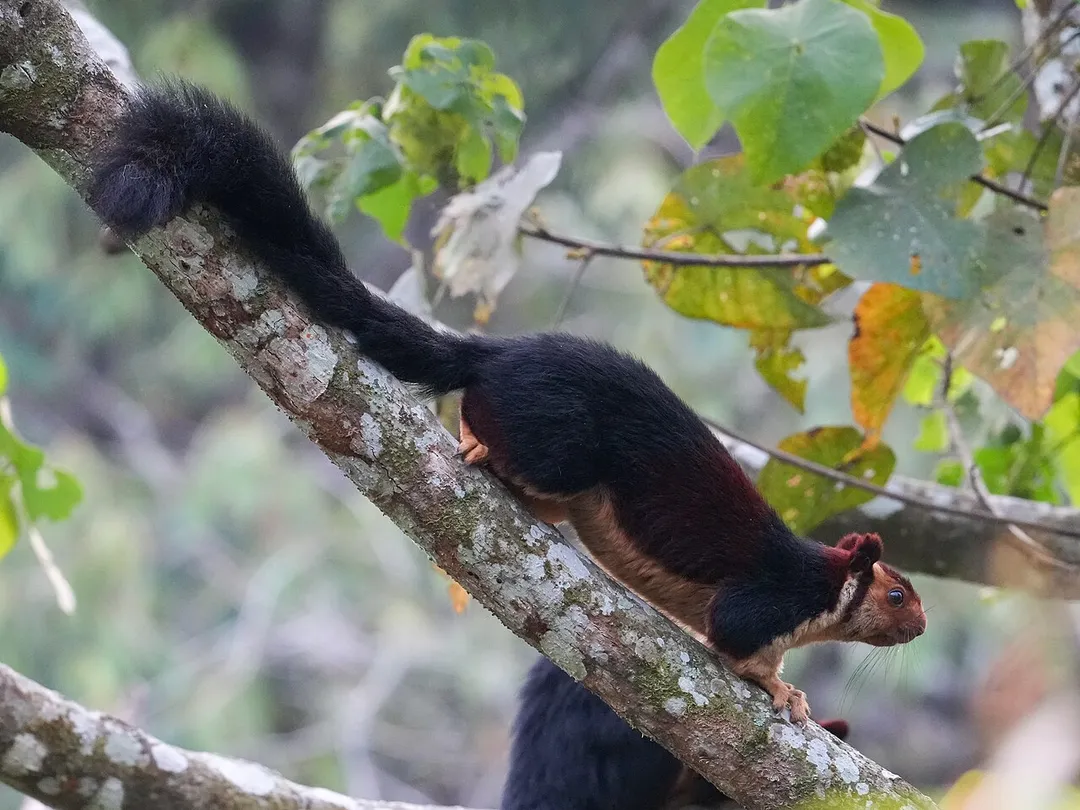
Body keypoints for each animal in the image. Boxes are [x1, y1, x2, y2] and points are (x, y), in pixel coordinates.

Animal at [87, 81, 927, 727]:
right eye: (895, 592)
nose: (919, 625)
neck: (823, 589)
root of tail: (499, 353)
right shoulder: (768, 598)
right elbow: (737, 640)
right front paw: (783, 689)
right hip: (561, 442)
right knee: (496, 425)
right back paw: (480, 445)